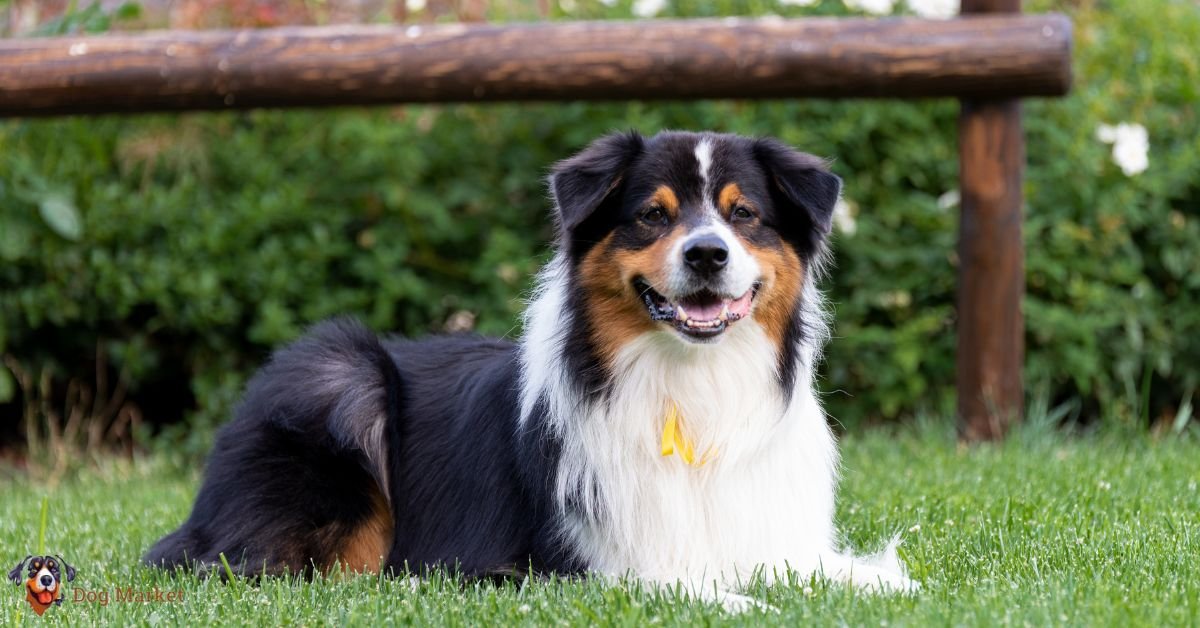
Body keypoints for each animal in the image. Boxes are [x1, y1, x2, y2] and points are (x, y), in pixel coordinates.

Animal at [147, 131, 916, 609]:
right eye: (651, 215)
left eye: (745, 213)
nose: (706, 253)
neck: (691, 385)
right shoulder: (579, 562)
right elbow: (677, 583)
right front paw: (742, 602)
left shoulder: (780, 539)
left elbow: (867, 575)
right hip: (338, 375)